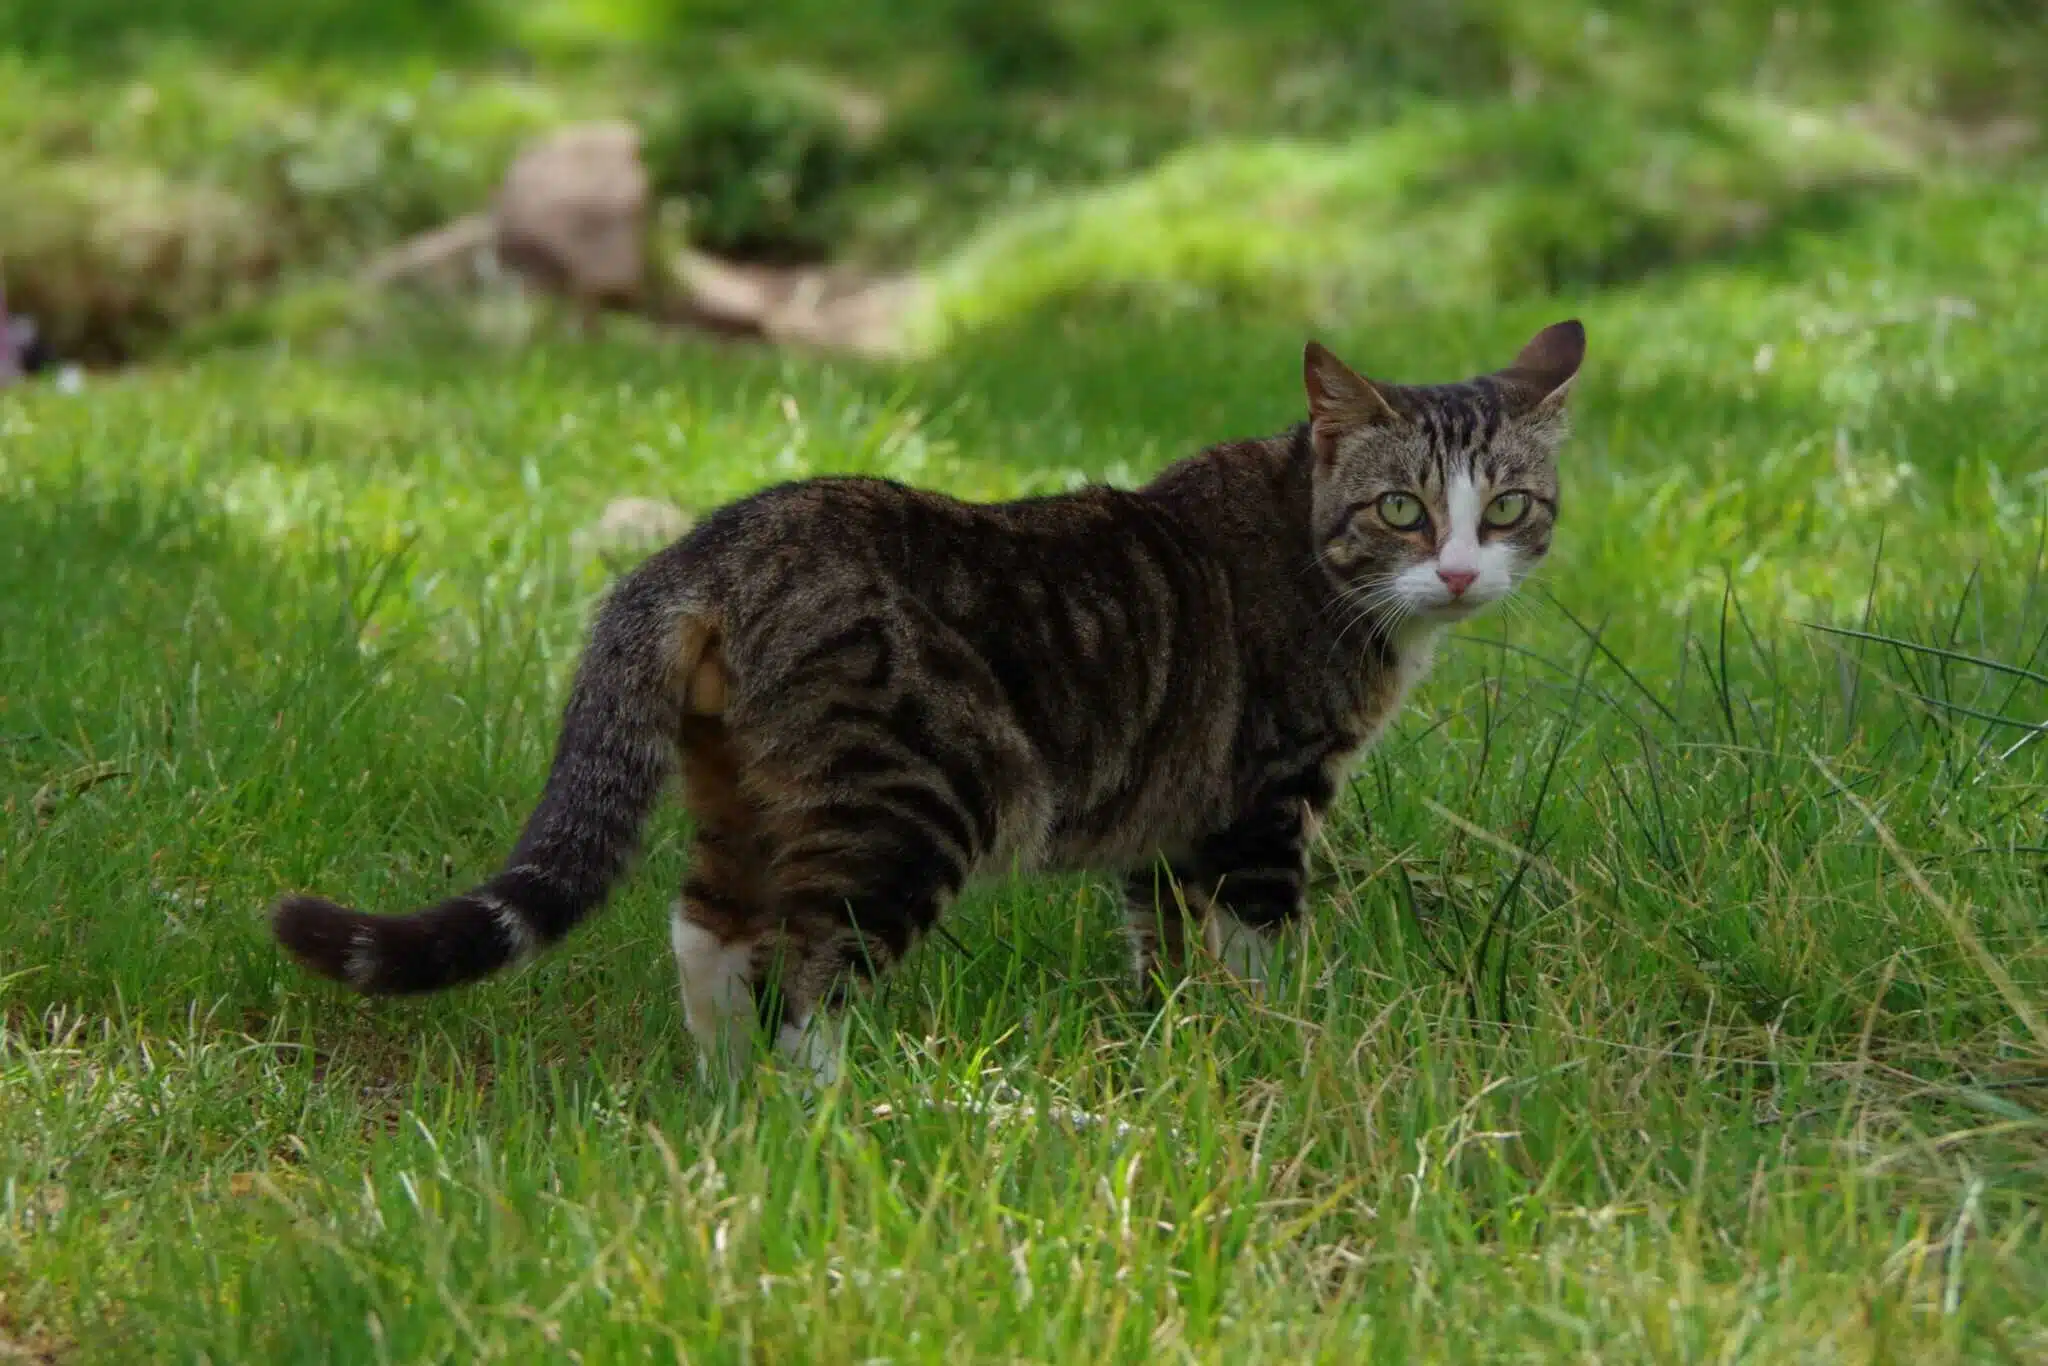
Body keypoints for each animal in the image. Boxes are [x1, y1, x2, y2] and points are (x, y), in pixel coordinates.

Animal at [276, 317, 1581, 1081]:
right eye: (1402, 510)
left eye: (1507, 508)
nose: (1459, 572)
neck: (1309, 542)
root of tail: (708, 544)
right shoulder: (1265, 797)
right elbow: (1260, 946)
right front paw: (1283, 1050)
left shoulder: (1172, 816)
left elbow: (1163, 949)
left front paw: (1179, 1049)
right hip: (909, 801)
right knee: (800, 971)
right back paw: (835, 1117)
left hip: (742, 785)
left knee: (707, 934)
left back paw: (729, 1114)